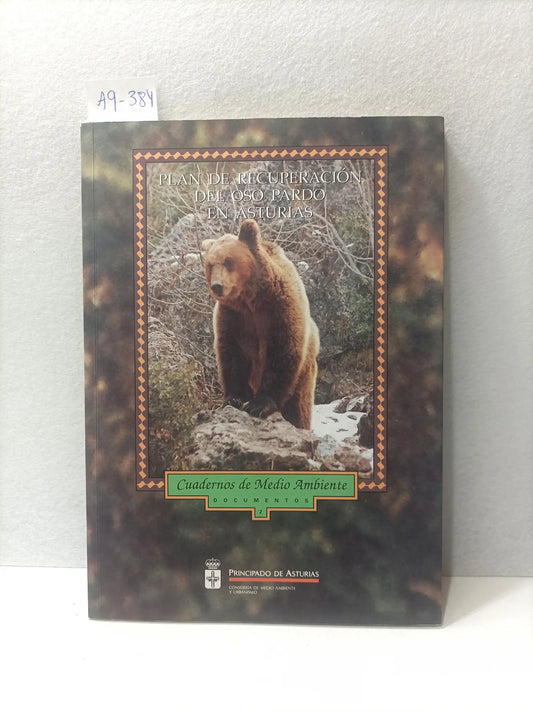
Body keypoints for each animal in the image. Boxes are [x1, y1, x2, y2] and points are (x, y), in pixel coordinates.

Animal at [201, 219, 319, 430]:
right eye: (210, 265)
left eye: (228, 261)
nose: (217, 286)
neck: (250, 300)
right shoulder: (232, 317)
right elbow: (232, 354)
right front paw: (235, 398)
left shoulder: (279, 308)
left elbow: (282, 350)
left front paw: (260, 405)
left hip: (305, 376)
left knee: (299, 406)